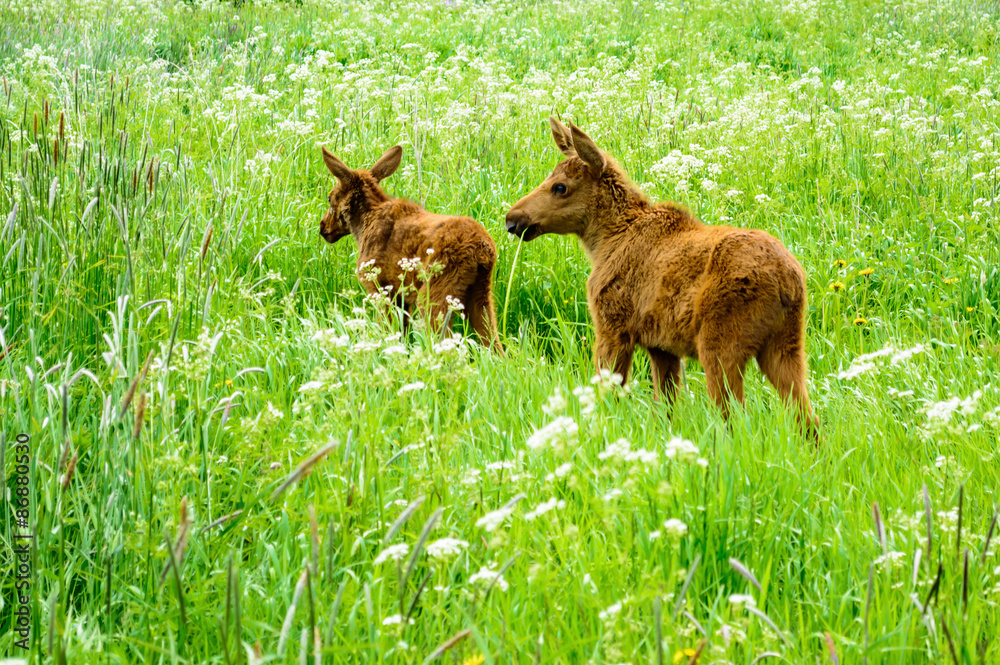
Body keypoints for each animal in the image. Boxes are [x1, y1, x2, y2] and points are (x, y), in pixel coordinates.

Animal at [319, 145, 504, 355]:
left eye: (329, 198)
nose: (323, 227)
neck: (362, 226)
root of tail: (483, 251)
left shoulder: (379, 286)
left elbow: (386, 332)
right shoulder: (401, 296)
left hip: (435, 291)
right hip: (481, 293)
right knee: (494, 344)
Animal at [505, 117, 818, 436]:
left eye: (560, 187)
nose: (512, 218)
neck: (602, 242)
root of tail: (788, 282)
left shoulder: (613, 326)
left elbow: (608, 396)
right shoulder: (661, 346)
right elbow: (664, 408)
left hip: (720, 343)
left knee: (732, 418)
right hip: (786, 344)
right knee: (807, 418)